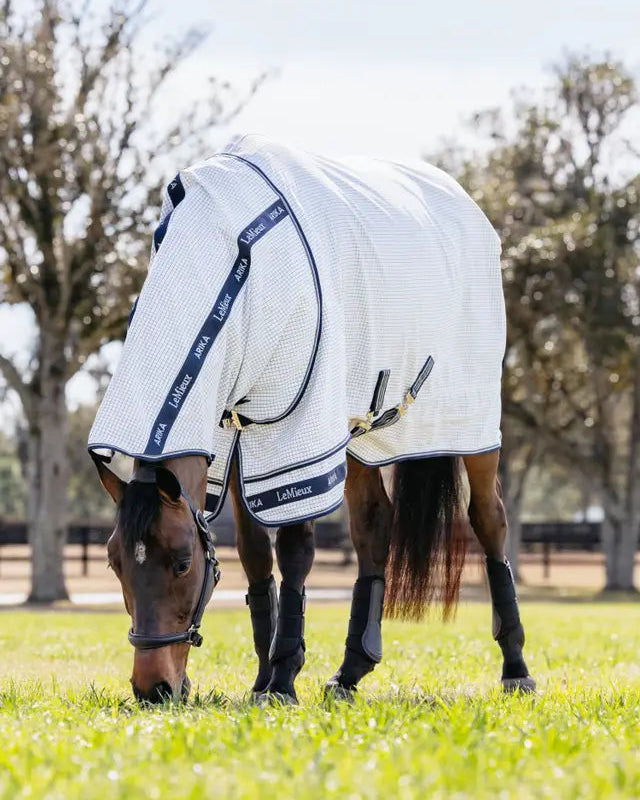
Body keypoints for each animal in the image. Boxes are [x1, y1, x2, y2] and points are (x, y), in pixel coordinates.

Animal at [89, 134, 535, 703]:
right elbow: (256, 555)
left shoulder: (294, 432)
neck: (236, 270)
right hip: (355, 437)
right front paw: (263, 675)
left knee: (489, 521)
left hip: (473, 432)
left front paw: (282, 678)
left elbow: (295, 550)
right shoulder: (234, 432)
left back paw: (516, 668)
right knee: (374, 527)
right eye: (114, 561)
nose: (155, 688)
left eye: (183, 561)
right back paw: (351, 671)